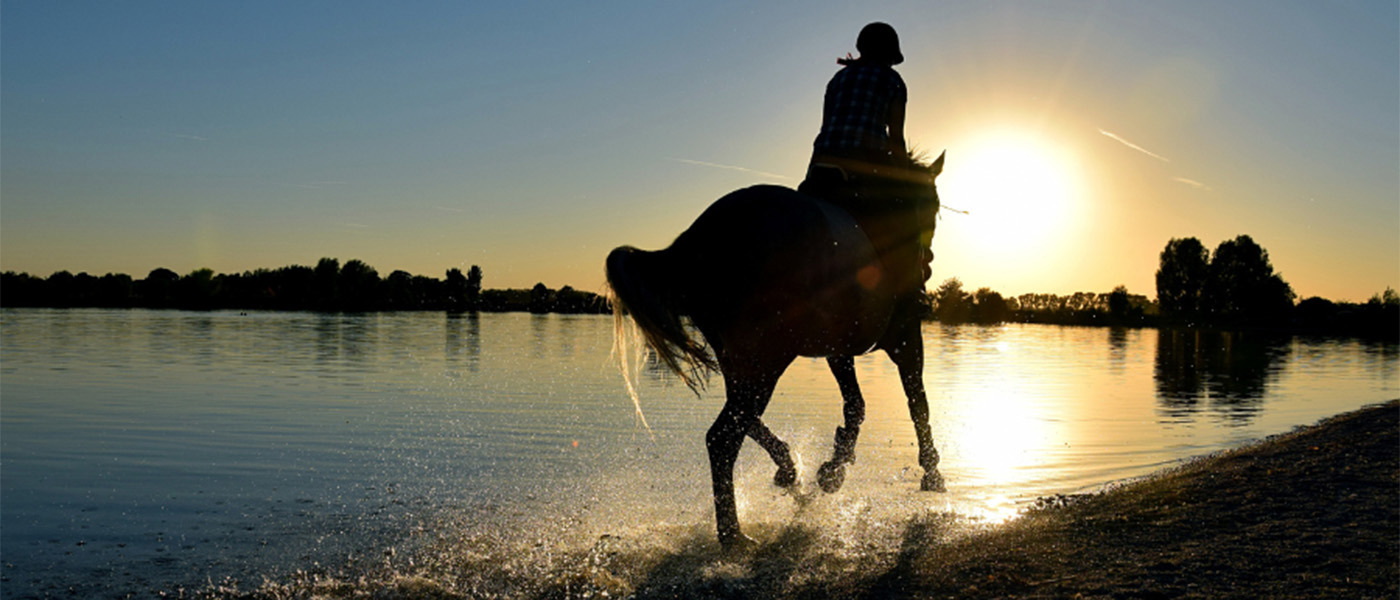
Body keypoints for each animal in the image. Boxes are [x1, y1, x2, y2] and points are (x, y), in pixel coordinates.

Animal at [607, 151, 946, 548]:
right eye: (933, 206)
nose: (927, 265)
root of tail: (694, 243)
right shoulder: (906, 339)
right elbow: (916, 402)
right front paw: (930, 472)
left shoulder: (838, 349)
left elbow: (856, 405)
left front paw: (832, 468)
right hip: (768, 358)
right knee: (722, 438)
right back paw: (733, 534)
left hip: (743, 358)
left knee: (741, 417)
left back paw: (785, 470)